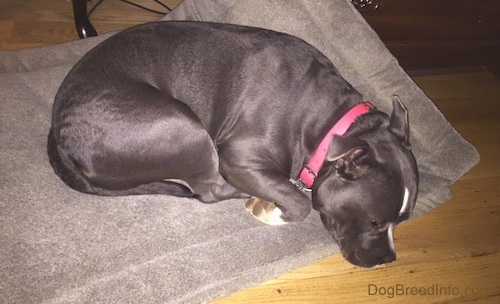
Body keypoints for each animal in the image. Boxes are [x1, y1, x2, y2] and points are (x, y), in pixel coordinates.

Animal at [47, 20, 418, 266]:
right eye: (374, 222)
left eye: (401, 222)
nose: (388, 259)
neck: (329, 121)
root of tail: (60, 130)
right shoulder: (240, 158)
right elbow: (300, 201)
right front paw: (273, 210)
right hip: (185, 129)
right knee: (210, 189)